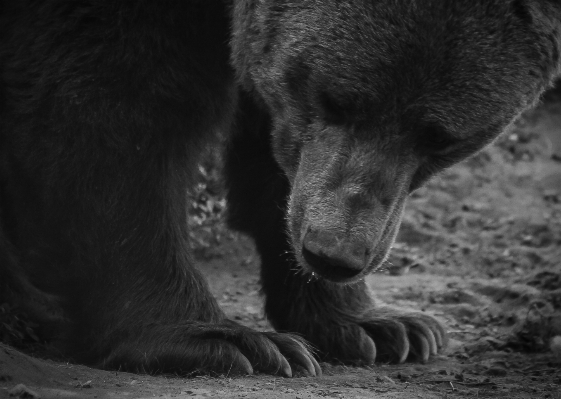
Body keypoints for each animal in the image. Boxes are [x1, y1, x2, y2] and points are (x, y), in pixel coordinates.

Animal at [0, 0, 556, 378]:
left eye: (439, 137)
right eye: (334, 98)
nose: (334, 254)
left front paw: (383, 327)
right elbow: (112, 98)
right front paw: (235, 343)